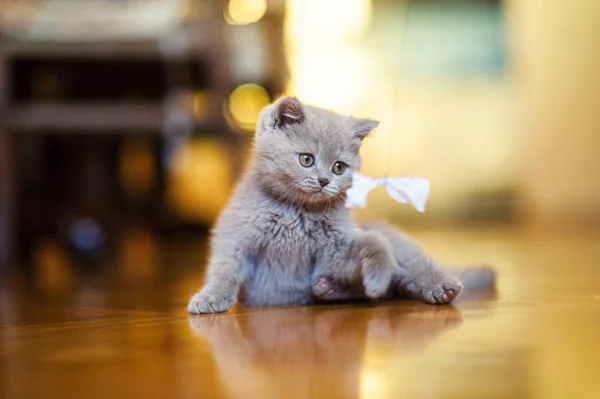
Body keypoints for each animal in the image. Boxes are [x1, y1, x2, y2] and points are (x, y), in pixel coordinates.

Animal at [189, 97, 496, 316]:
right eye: (306, 159)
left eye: (339, 167)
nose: (324, 181)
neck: (295, 212)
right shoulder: (235, 239)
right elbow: (224, 271)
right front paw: (210, 298)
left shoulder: (336, 248)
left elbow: (375, 243)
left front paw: (375, 281)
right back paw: (329, 289)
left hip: (401, 247)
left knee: (408, 264)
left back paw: (440, 287)